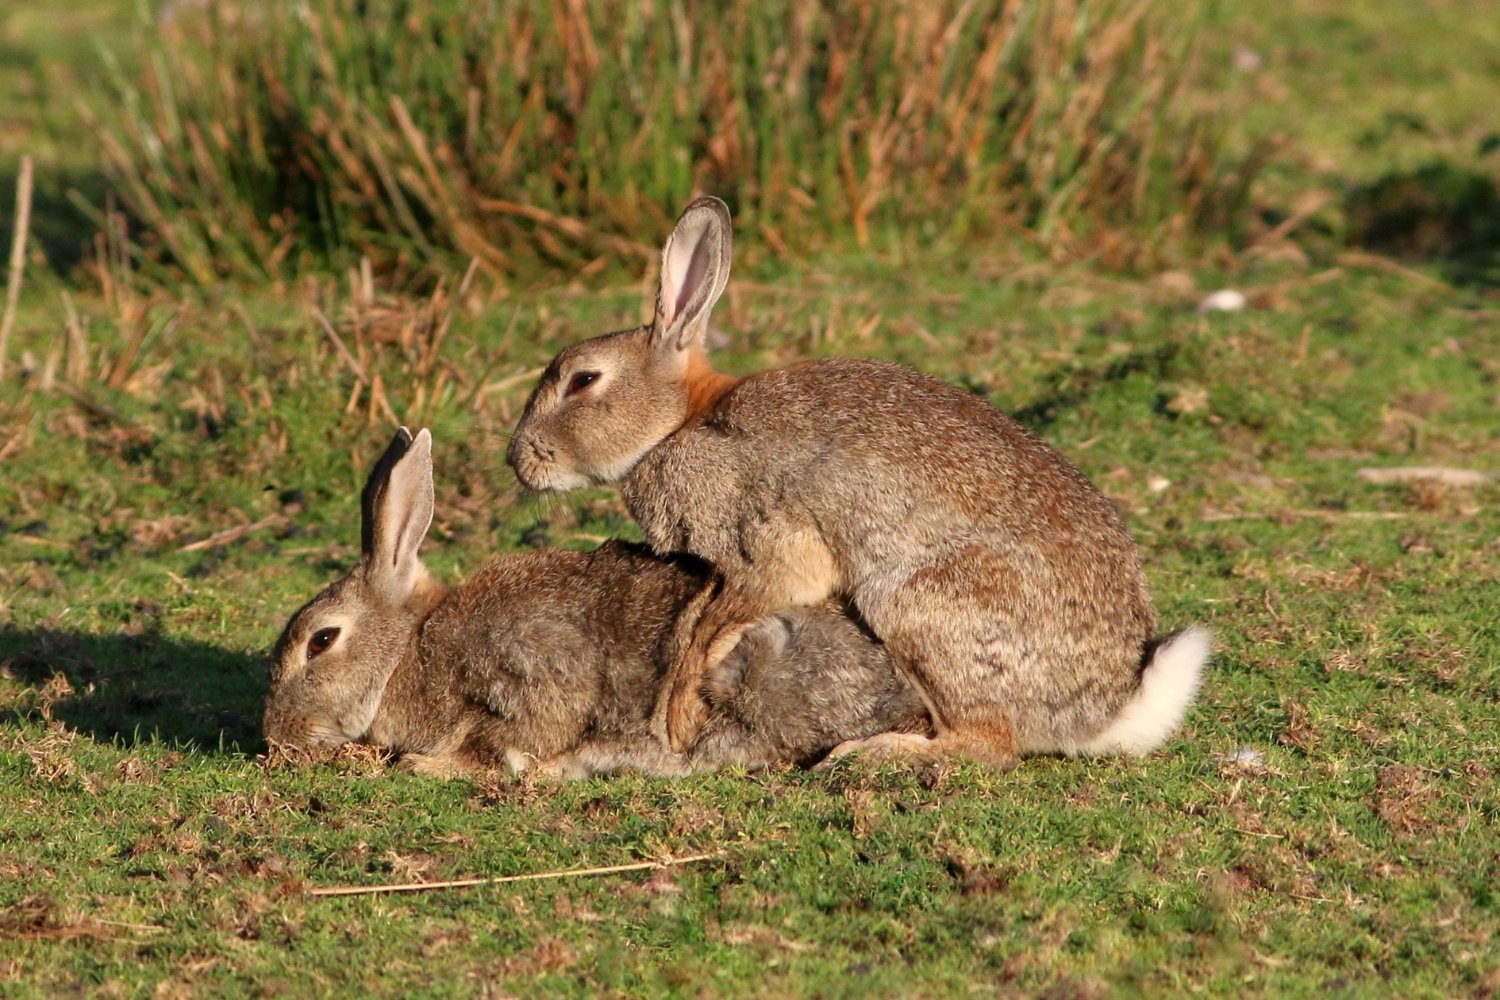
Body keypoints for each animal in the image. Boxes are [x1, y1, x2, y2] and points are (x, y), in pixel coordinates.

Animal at [264, 425, 930, 779]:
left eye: (322, 640)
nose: (276, 739)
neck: (407, 649)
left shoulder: (533, 663)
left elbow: (523, 727)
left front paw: (429, 766)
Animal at [510, 197, 1212, 773]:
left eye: (583, 380)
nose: (519, 459)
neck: (677, 424)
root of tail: (1106, 710)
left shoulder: (769, 547)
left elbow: (722, 621)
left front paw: (678, 712)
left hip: (919, 607)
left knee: (987, 745)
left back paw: (868, 753)